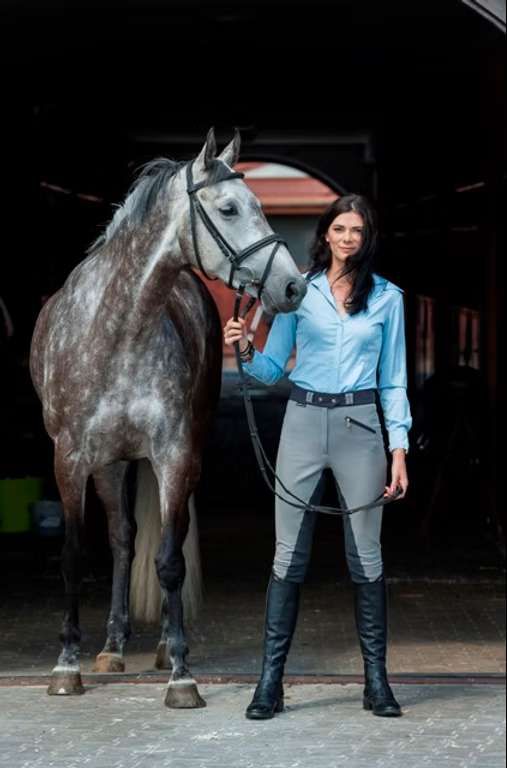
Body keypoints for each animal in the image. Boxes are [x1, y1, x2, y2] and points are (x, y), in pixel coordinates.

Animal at [29, 128, 307, 709]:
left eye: (258, 204)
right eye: (229, 208)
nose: (293, 288)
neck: (116, 331)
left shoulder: (174, 454)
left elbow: (169, 562)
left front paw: (181, 674)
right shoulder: (70, 459)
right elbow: (73, 555)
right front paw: (66, 667)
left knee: (160, 544)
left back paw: (159, 647)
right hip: (111, 464)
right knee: (121, 539)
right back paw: (111, 648)